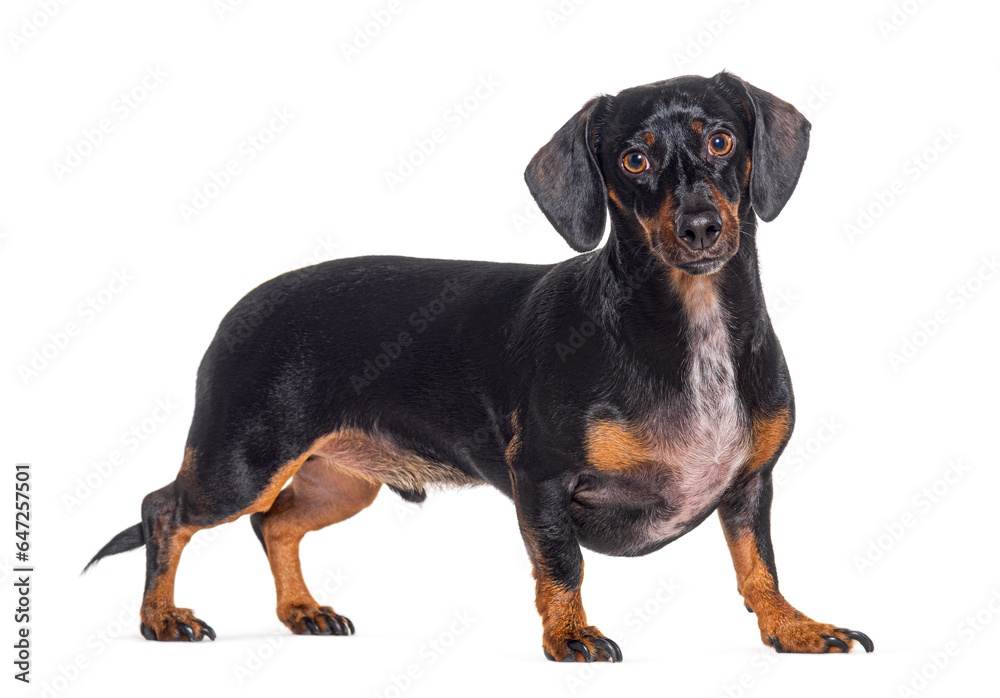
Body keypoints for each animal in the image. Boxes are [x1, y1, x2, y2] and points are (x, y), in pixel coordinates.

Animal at [86, 72, 872, 664]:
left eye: (722, 140)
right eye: (634, 160)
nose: (702, 226)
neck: (685, 328)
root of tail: (238, 309)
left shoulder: (749, 486)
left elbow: (759, 566)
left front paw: (795, 628)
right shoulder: (542, 478)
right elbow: (562, 565)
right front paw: (571, 636)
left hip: (340, 483)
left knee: (274, 527)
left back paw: (302, 611)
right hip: (241, 465)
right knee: (164, 511)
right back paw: (162, 619)